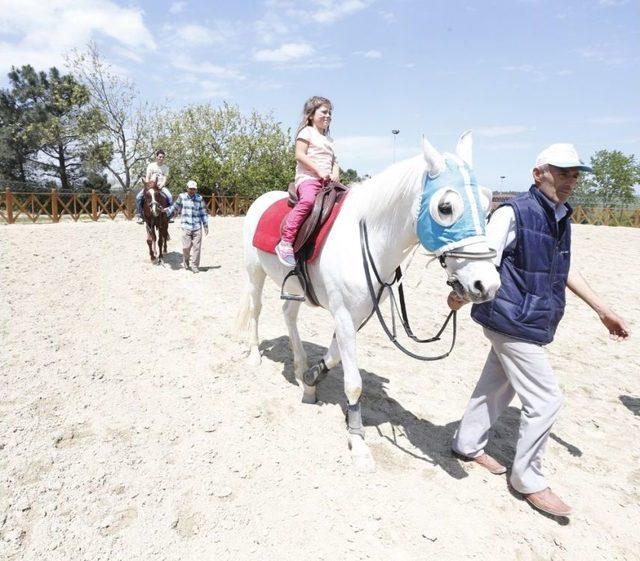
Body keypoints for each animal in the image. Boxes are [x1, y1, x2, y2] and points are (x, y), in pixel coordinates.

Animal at [238, 133, 502, 470]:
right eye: (445, 207)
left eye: (487, 203)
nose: (487, 284)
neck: (365, 239)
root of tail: (261, 200)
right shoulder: (343, 315)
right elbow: (353, 382)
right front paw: (359, 443)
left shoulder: (357, 315)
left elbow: (335, 357)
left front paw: (310, 380)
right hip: (254, 272)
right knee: (256, 309)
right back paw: (254, 356)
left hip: (295, 286)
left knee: (288, 313)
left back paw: (298, 369)